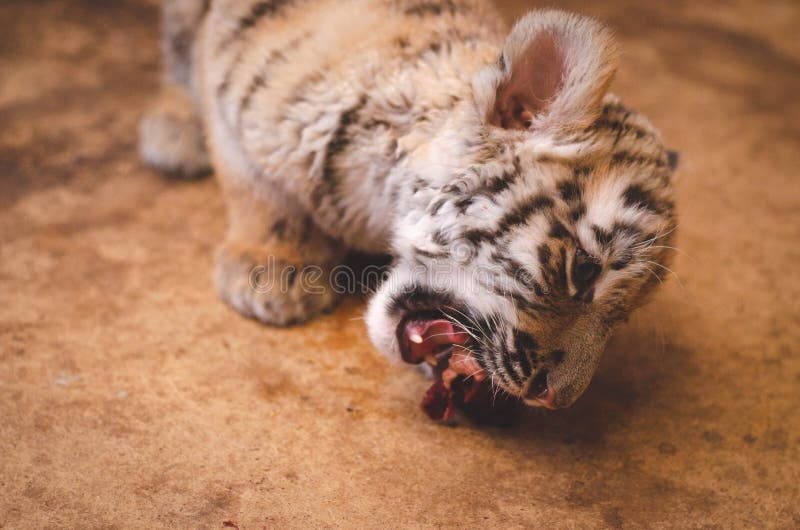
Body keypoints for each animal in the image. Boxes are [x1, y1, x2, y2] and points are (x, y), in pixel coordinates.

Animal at [139, 0, 678, 411]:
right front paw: (274, 275)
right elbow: (254, 186)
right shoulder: (229, 83)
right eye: (584, 271)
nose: (555, 399)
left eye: (621, 320)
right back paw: (174, 132)